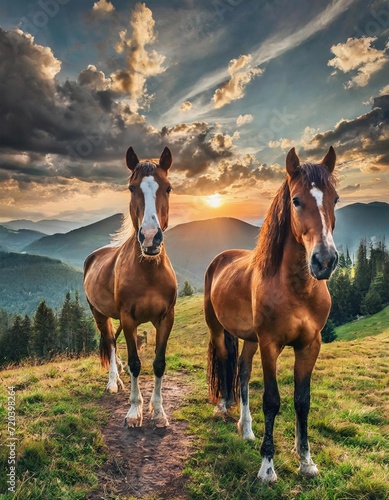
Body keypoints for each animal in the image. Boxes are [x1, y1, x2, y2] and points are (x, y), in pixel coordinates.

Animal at [85, 146, 177, 428]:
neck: (148, 272)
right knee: (110, 343)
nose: (150, 237)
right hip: (99, 314)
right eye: (131, 188)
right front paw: (135, 412)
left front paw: (158, 412)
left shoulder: (166, 318)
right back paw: (114, 382)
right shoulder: (128, 318)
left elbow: (158, 363)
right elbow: (136, 363)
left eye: (168, 187)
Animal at [205, 147, 338, 480]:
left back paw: (246, 428)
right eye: (296, 200)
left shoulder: (310, 345)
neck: (296, 289)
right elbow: (271, 400)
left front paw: (306, 461)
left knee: (242, 371)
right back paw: (223, 407)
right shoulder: (270, 345)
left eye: (335, 199)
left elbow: (302, 401)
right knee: (225, 362)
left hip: (250, 339)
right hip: (219, 329)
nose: (325, 260)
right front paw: (267, 466)